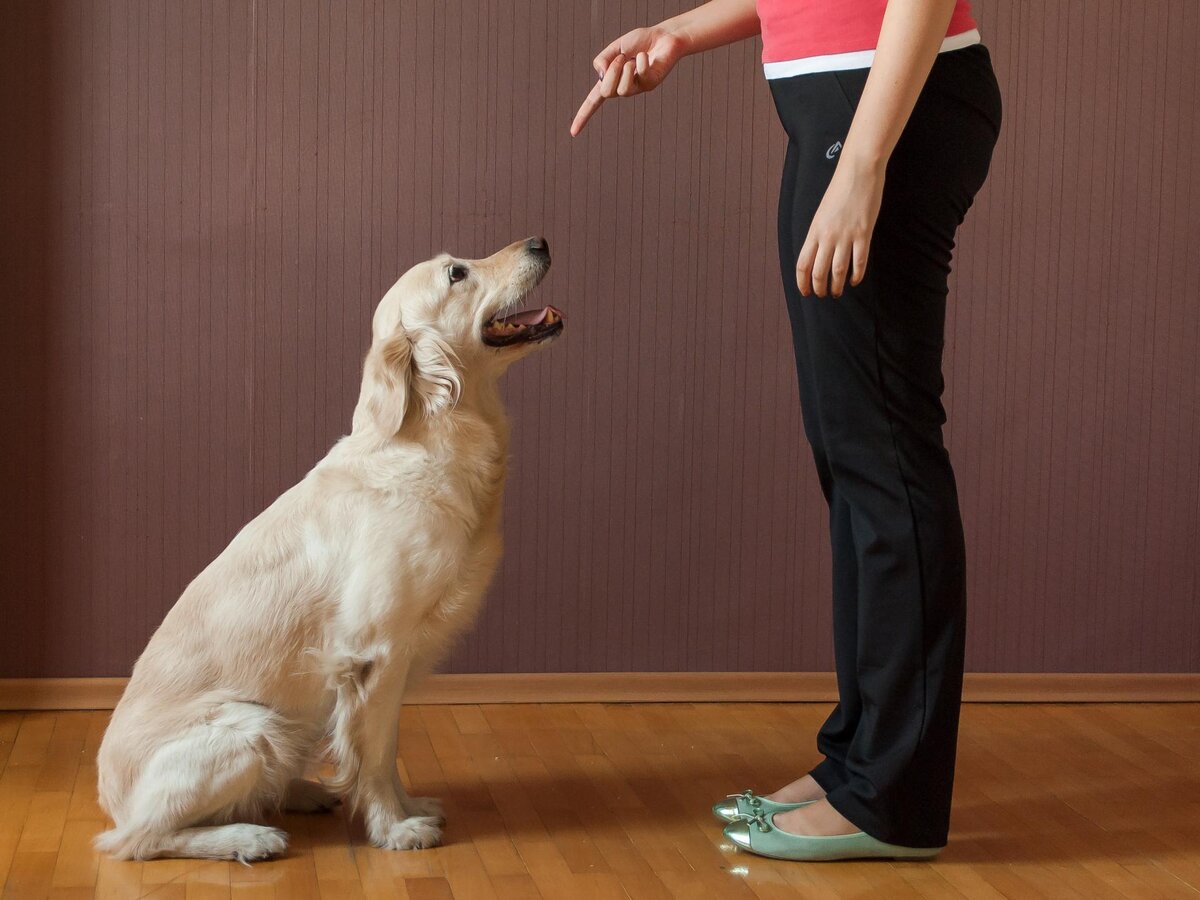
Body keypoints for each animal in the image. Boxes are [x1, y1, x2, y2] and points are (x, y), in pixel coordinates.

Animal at [94, 236, 561, 864]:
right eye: (457, 274)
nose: (539, 242)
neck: (432, 436)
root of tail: (110, 796)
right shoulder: (374, 653)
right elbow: (375, 754)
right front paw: (394, 829)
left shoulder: (393, 659)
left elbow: (384, 749)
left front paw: (408, 808)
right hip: (252, 729)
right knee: (140, 839)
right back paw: (249, 836)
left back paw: (301, 792)